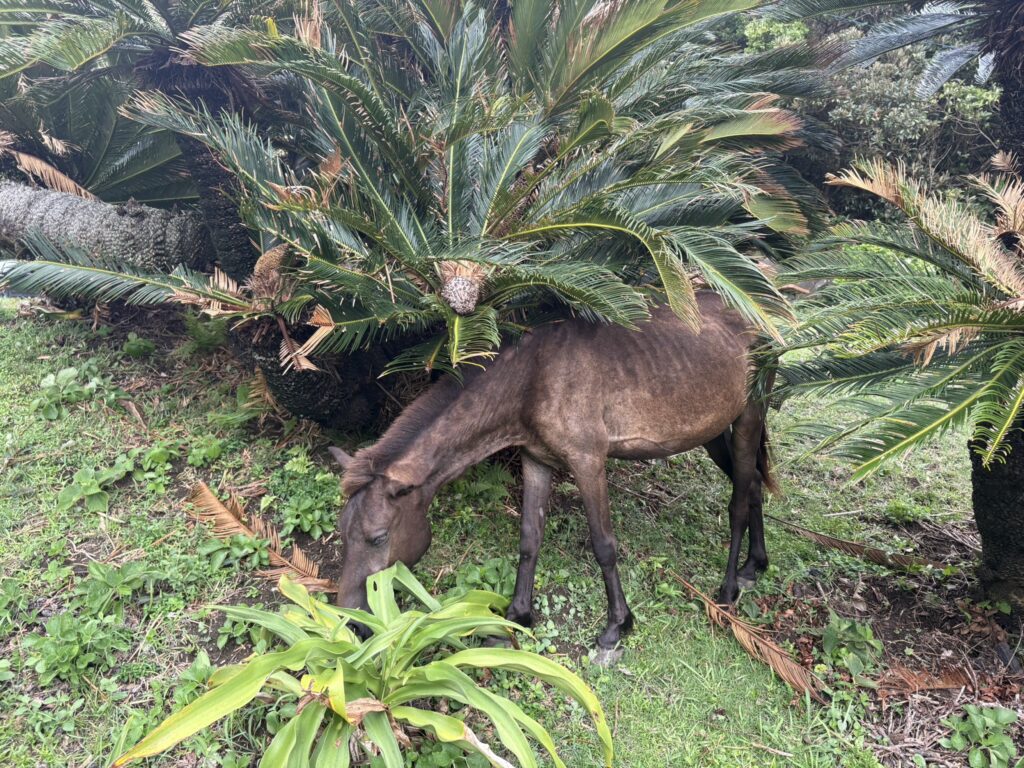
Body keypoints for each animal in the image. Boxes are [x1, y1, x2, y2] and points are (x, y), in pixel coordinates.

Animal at [327, 292, 778, 659]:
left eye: (378, 538)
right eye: (342, 530)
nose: (348, 617)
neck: (533, 378)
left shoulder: (588, 461)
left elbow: (604, 545)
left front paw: (617, 627)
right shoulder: (536, 460)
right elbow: (529, 537)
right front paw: (516, 615)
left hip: (750, 415)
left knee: (739, 500)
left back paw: (729, 589)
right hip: (713, 430)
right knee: (754, 484)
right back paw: (755, 565)